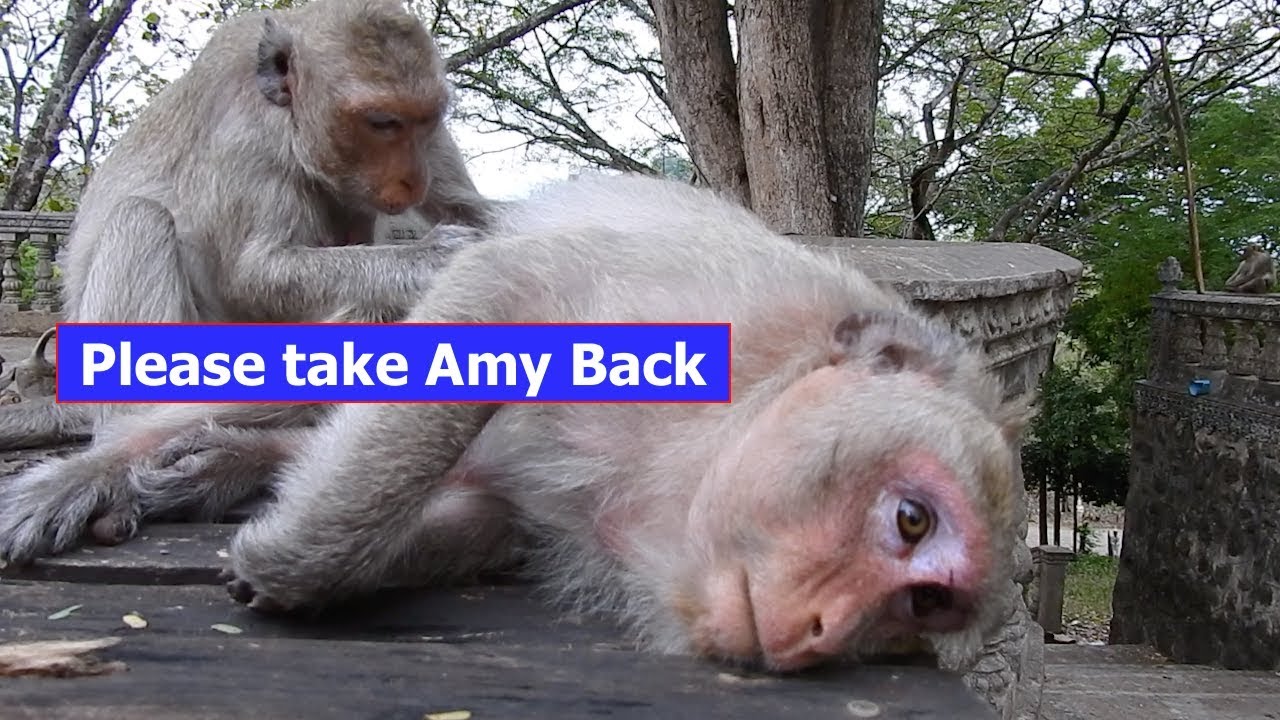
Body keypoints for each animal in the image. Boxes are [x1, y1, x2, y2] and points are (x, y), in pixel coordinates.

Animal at [0, 0, 495, 453]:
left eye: (426, 119)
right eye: (383, 123)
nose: (415, 178)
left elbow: (468, 208)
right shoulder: (243, 136)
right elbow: (250, 274)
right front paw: (438, 257)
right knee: (140, 217)